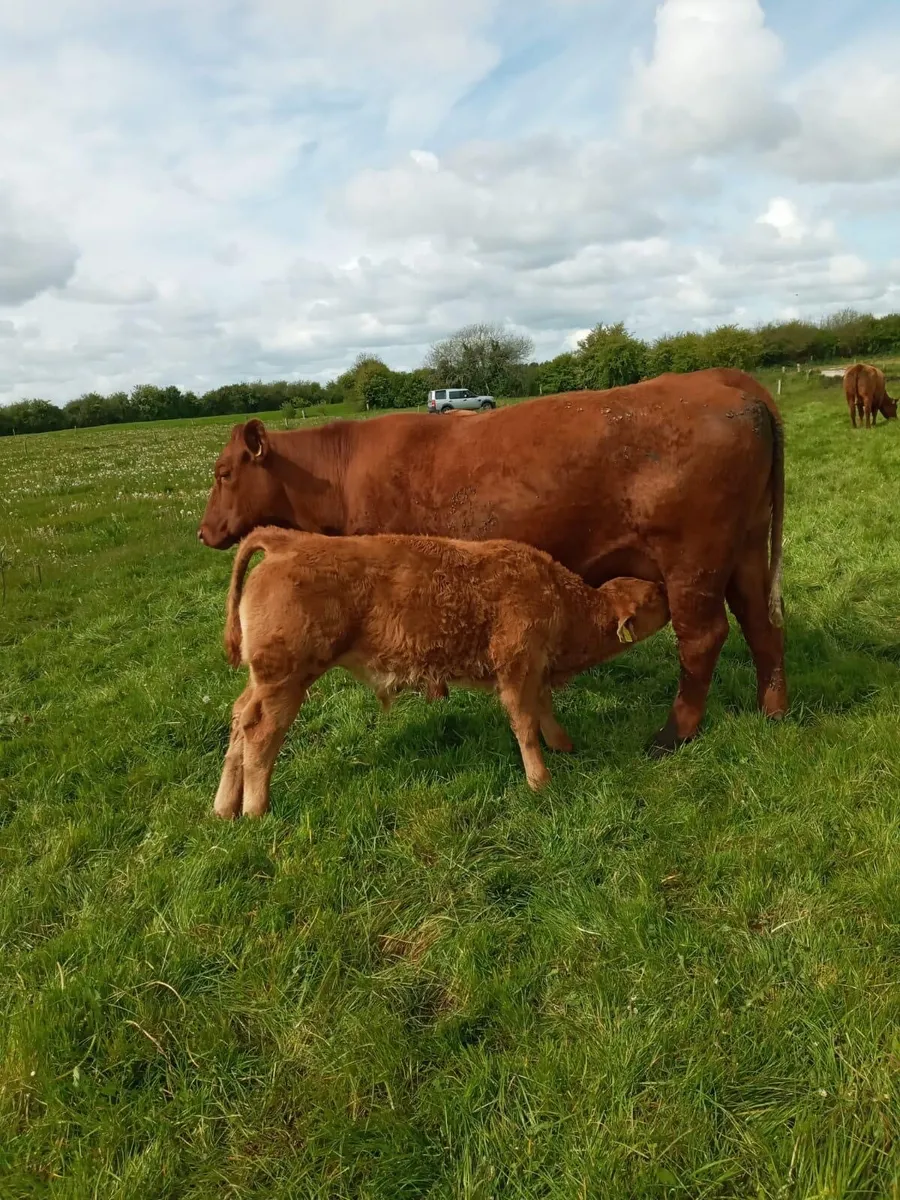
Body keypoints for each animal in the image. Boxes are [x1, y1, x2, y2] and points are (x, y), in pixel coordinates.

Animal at [199, 368, 787, 756]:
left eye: (224, 473)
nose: (205, 532)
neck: (340, 474)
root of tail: (725, 382)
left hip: (694, 560)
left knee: (703, 639)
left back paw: (672, 734)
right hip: (745, 551)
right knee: (762, 624)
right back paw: (773, 709)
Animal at [213, 527, 670, 816]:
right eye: (652, 598)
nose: (669, 592)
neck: (557, 595)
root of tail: (285, 540)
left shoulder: (535, 667)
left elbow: (544, 709)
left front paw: (564, 745)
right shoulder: (516, 665)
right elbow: (524, 723)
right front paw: (540, 781)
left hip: (263, 680)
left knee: (239, 718)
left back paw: (224, 808)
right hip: (285, 680)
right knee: (260, 731)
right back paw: (256, 809)